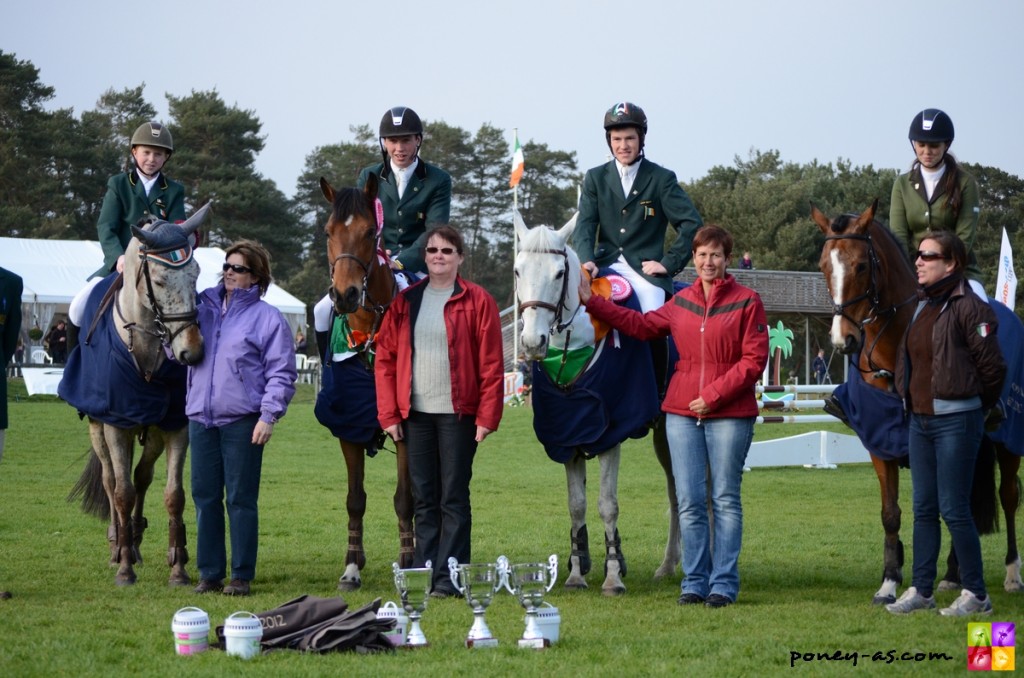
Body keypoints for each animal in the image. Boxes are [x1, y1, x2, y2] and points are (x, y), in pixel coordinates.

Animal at [62, 205, 208, 585]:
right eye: (158, 281)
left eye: (196, 276)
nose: (192, 353)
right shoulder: (116, 423)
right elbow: (122, 492)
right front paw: (125, 569)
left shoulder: (176, 426)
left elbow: (173, 495)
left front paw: (178, 567)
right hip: (98, 428)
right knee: (111, 479)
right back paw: (118, 543)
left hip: (152, 432)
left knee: (142, 475)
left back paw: (137, 537)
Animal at [512, 210, 679, 594]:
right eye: (517, 271)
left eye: (559, 274)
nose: (531, 342)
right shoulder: (569, 431)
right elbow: (576, 504)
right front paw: (576, 572)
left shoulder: (608, 432)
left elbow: (607, 504)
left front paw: (613, 575)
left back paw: (672, 563)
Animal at [811, 199, 1019, 602]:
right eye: (824, 266)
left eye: (862, 266)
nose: (844, 340)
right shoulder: (880, 442)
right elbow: (891, 512)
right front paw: (889, 580)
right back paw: (953, 573)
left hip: (1008, 443)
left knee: (1008, 496)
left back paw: (1012, 573)